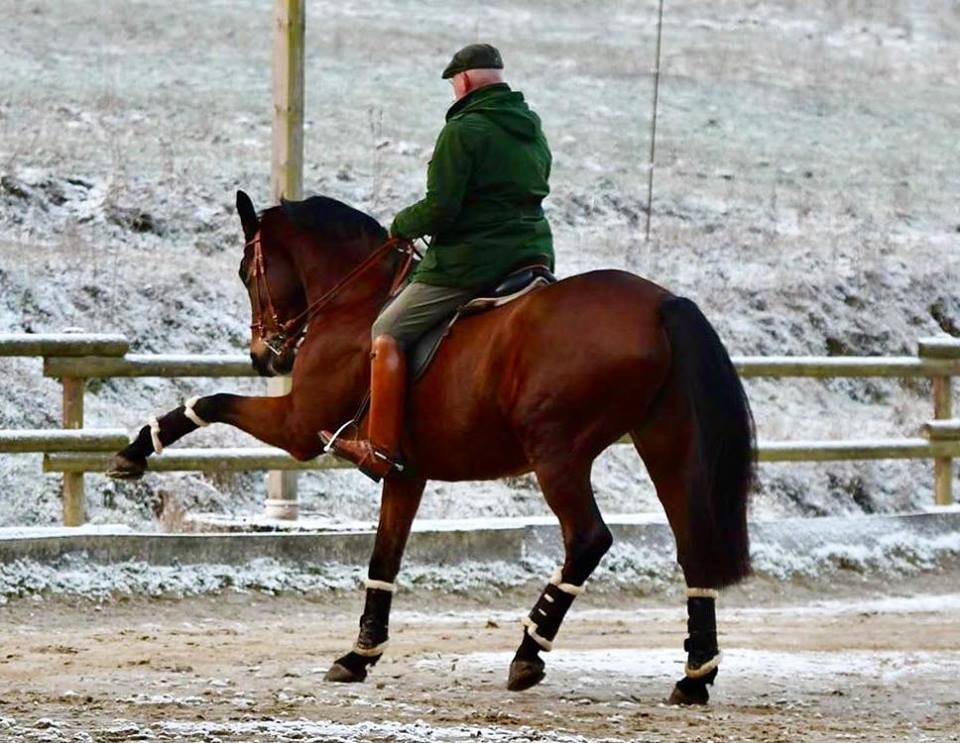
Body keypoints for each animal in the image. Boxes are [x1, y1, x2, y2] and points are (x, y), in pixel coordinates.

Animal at [109, 190, 752, 704]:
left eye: (247, 272)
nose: (265, 358)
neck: (357, 300)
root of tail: (661, 304)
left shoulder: (296, 426)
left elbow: (211, 401)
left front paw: (138, 448)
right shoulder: (405, 473)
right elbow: (383, 559)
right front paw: (359, 654)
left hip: (557, 453)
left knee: (588, 540)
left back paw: (529, 651)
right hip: (665, 445)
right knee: (692, 546)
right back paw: (695, 675)